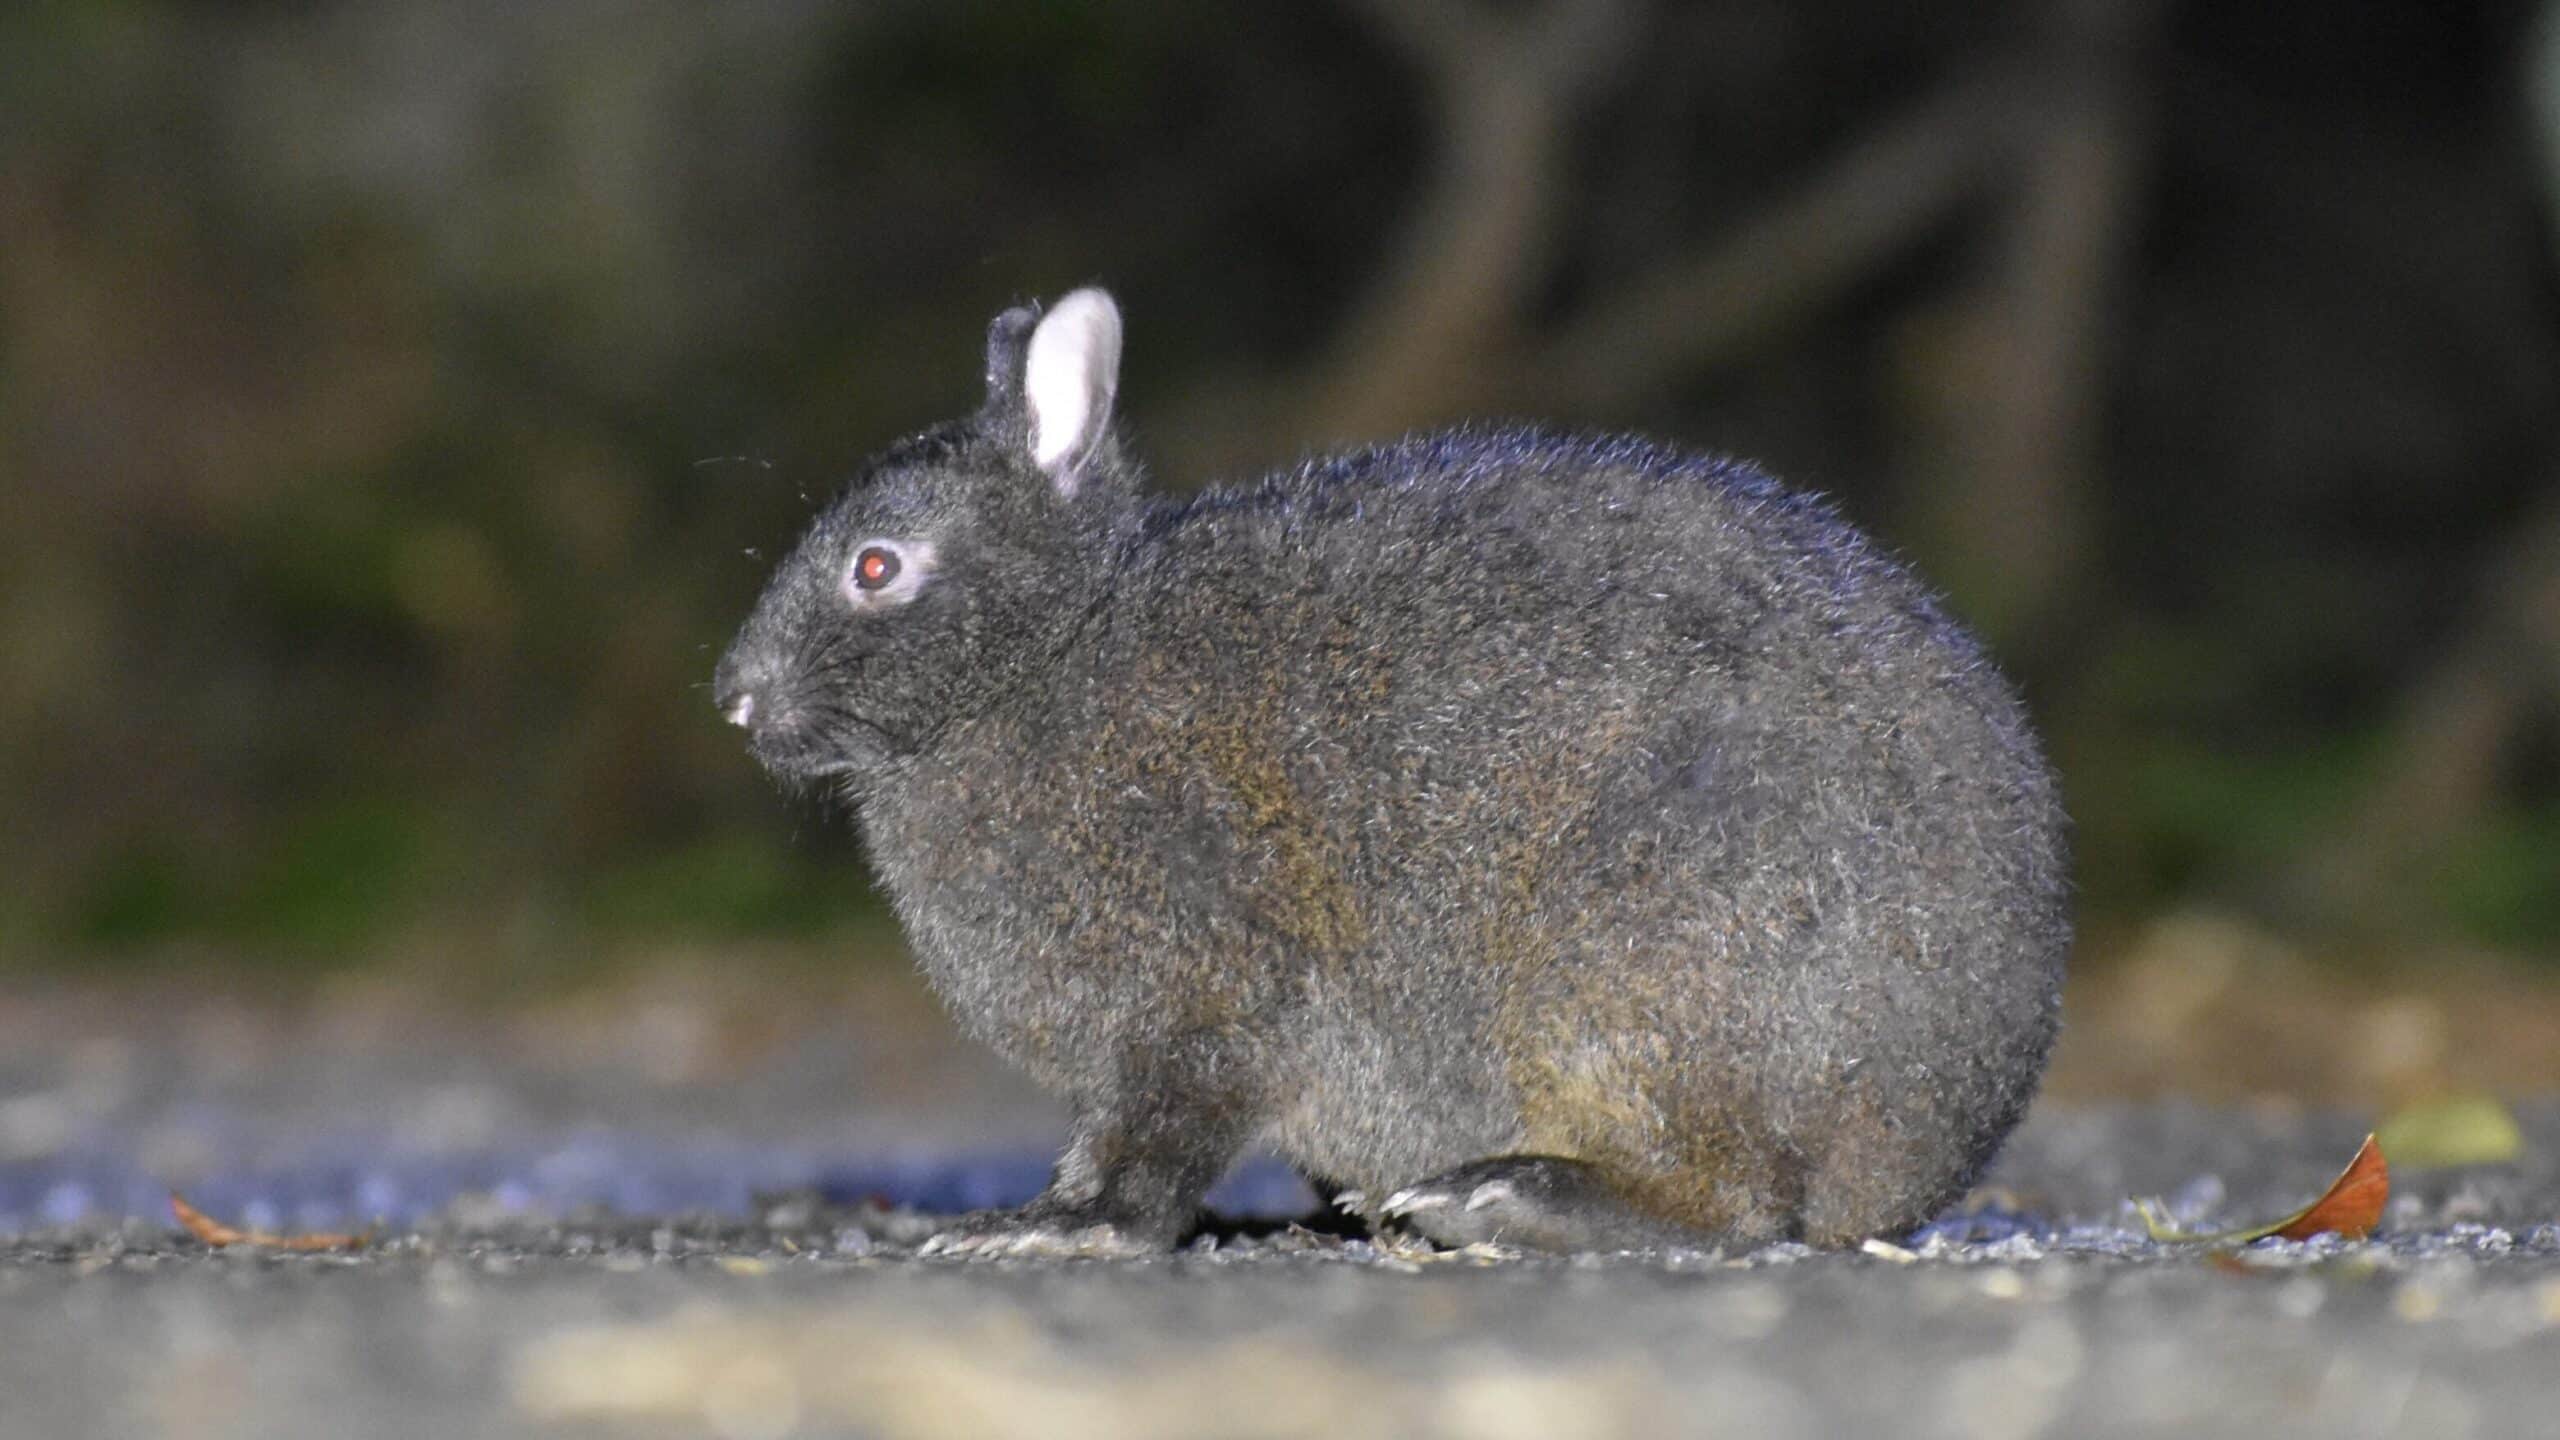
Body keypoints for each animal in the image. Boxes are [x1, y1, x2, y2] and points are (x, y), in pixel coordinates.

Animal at [712, 286, 2070, 1256]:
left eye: (876, 566)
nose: (733, 697)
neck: (1050, 650)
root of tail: (1950, 1126)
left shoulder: (1199, 999)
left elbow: (1154, 1143)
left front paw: (1058, 1231)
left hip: (1650, 950)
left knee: (1741, 1202)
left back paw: (1502, 1203)